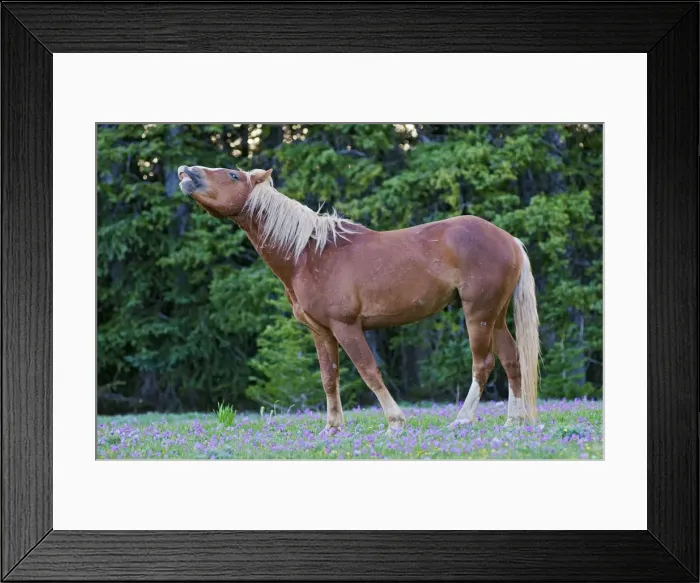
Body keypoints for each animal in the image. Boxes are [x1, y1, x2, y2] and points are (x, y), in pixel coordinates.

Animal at [178, 164, 540, 433]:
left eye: (233, 175)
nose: (186, 171)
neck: (310, 254)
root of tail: (509, 240)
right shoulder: (321, 332)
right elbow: (329, 377)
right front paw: (332, 428)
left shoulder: (346, 326)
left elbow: (368, 371)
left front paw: (395, 422)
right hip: (495, 316)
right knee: (511, 359)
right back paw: (513, 421)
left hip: (477, 314)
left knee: (483, 363)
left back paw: (463, 419)